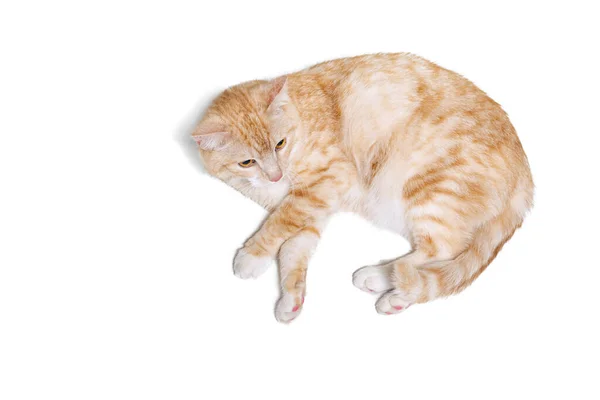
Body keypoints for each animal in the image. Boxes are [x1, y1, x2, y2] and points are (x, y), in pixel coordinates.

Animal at [192, 52, 536, 322]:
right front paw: (290, 299)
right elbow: (293, 249)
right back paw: (393, 295)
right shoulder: (314, 209)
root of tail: (526, 175)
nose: (276, 176)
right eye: (247, 162)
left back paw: (379, 277)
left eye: (280, 144)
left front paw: (251, 257)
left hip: (430, 188)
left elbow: (277, 225)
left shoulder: (322, 184)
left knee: (443, 249)